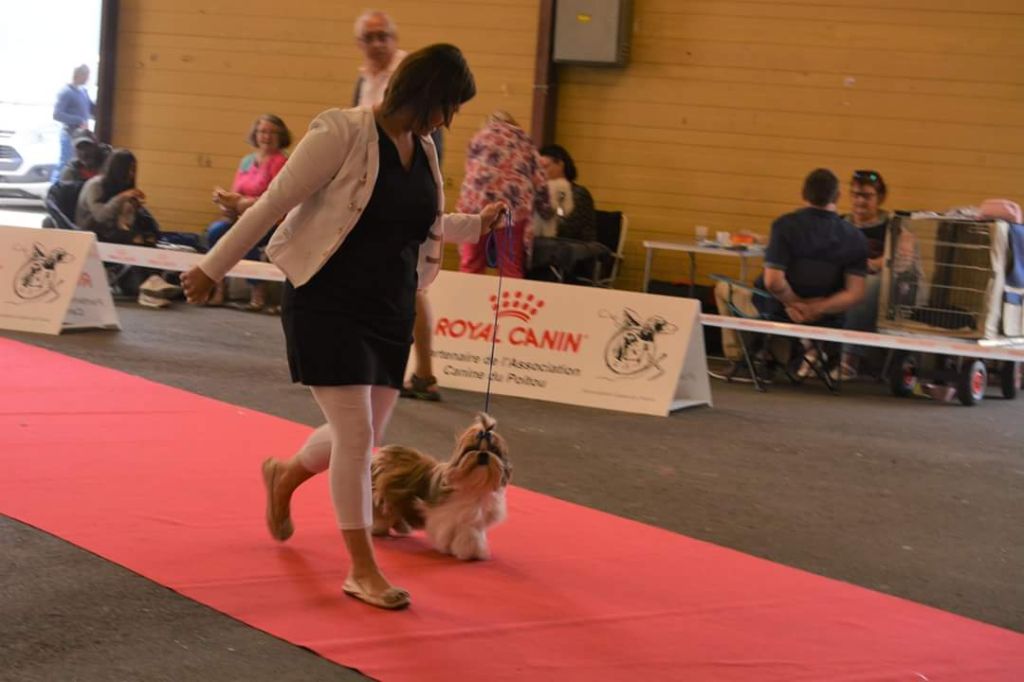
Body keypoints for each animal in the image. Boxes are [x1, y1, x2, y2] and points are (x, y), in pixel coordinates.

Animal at [370, 411, 509, 561]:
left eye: (494, 450)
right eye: (472, 449)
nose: (483, 454)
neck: (475, 484)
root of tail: (381, 454)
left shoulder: (473, 521)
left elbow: (472, 534)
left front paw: (475, 551)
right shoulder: (450, 517)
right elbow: (461, 535)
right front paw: (464, 551)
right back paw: (379, 529)